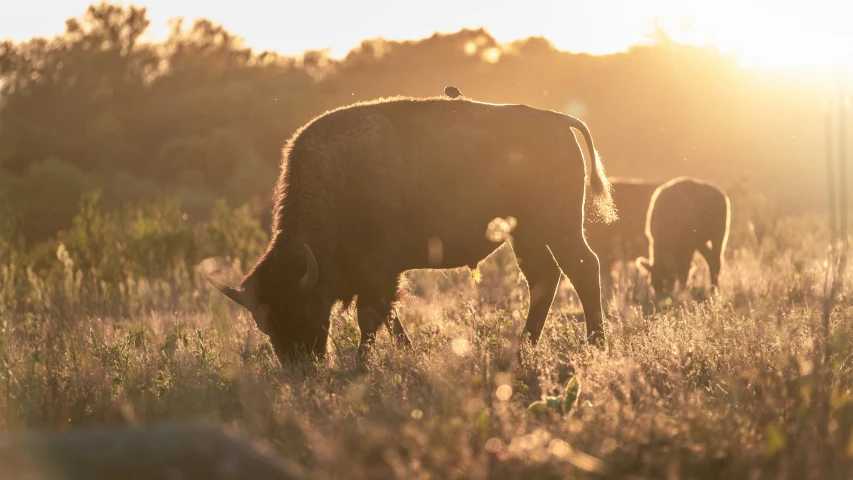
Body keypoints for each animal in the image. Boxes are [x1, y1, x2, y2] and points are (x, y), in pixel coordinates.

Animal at [210, 95, 616, 366]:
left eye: (302, 310)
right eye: (266, 325)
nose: (302, 369)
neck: (339, 179)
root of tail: (558, 120)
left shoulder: (379, 272)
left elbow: (371, 318)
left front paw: (361, 366)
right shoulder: (379, 277)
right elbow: (389, 318)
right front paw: (406, 352)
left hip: (558, 224)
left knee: (583, 268)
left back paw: (596, 345)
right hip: (528, 233)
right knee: (544, 277)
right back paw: (524, 348)